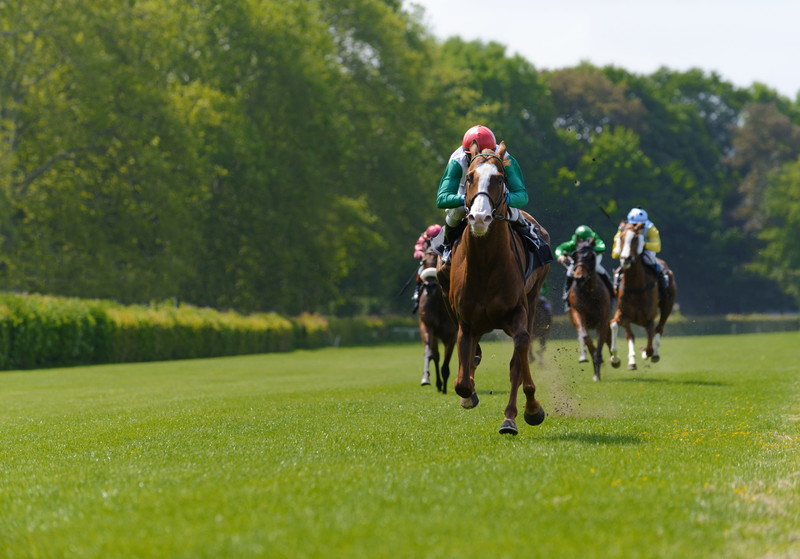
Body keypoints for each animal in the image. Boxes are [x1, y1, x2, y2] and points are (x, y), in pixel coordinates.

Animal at [416, 252, 454, 392]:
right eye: (423, 261)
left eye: (437, 259)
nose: (430, 286)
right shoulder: (427, 326)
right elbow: (430, 354)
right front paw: (425, 378)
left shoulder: (451, 334)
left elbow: (446, 362)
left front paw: (445, 387)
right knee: (436, 356)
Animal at [438, 142, 552, 436]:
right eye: (469, 177)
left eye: (500, 179)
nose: (479, 218)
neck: (485, 264)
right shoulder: (466, 323)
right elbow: (462, 382)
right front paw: (469, 395)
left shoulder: (517, 313)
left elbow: (518, 359)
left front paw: (529, 410)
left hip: (533, 299)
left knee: (518, 360)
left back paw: (513, 416)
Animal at [564, 238, 616, 382]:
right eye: (574, 256)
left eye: (591, 256)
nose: (579, 277)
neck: (588, 293)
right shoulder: (577, 313)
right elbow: (585, 337)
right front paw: (585, 357)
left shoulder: (602, 321)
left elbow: (601, 341)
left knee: (608, 338)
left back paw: (614, 359)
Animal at [608, 223, 680, 372]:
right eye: (621, 238)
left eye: (636, 238)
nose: (625, 259)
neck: (636, 287)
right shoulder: (624, 314)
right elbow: (614, 325)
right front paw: (615, 359)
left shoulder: (649, 319)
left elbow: (650, 346)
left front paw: (645, 352)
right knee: (630, 335)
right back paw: (632, 361)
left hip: (668, 306)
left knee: (659, 329)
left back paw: (654, 355)